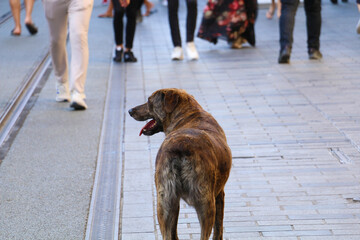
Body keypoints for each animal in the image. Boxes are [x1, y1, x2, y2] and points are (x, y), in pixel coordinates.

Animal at [128, 88, 232, 240]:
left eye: (149, 101)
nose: (130, 110)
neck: (188, 115)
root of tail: (180, 147)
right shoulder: (219, 194)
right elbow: (218, 229)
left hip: (165, 202)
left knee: (167, 233)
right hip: (206, 203)